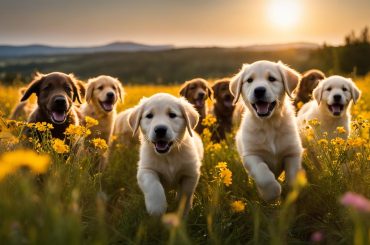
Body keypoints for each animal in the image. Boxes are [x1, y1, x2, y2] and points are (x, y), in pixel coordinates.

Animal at [231, 60, 304, 202]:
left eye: (271, 79)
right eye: (249, 80)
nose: (259, 90)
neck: (269, 124)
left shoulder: (293, 152)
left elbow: (293, 177)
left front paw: (290, 194)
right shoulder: (251, 155)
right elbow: (263, 174)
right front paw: (271, 194)